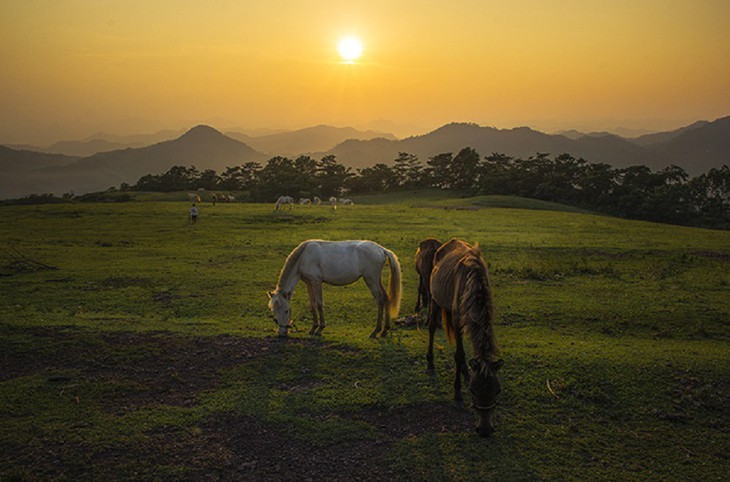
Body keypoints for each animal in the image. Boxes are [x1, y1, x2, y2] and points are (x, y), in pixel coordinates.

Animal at [424, 238, 504, 436]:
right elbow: (459, 354)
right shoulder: (457, 318)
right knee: (431, 327)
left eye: (497, 391)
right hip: (435, 299)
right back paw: (430, 362)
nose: (485, 430)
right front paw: (458, 393)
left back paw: (466, 372)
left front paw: (467, 374)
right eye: (473, 391)